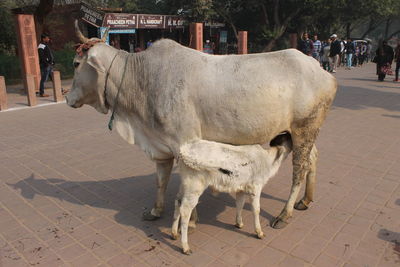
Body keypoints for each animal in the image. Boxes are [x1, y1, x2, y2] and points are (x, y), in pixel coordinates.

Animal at [67, 22, 336, 232]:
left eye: (76, 63)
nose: (68, 98)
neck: (141, 79)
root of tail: (322, 71)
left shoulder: (184, 142)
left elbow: (184, 187)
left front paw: (191, 221)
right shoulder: (161, 145)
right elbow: (161, 180)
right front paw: (155, 211)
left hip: (304, 129)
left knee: (299, 169)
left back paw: (284, 214)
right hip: (302, 132)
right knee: (312, 158)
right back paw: (305, 201)